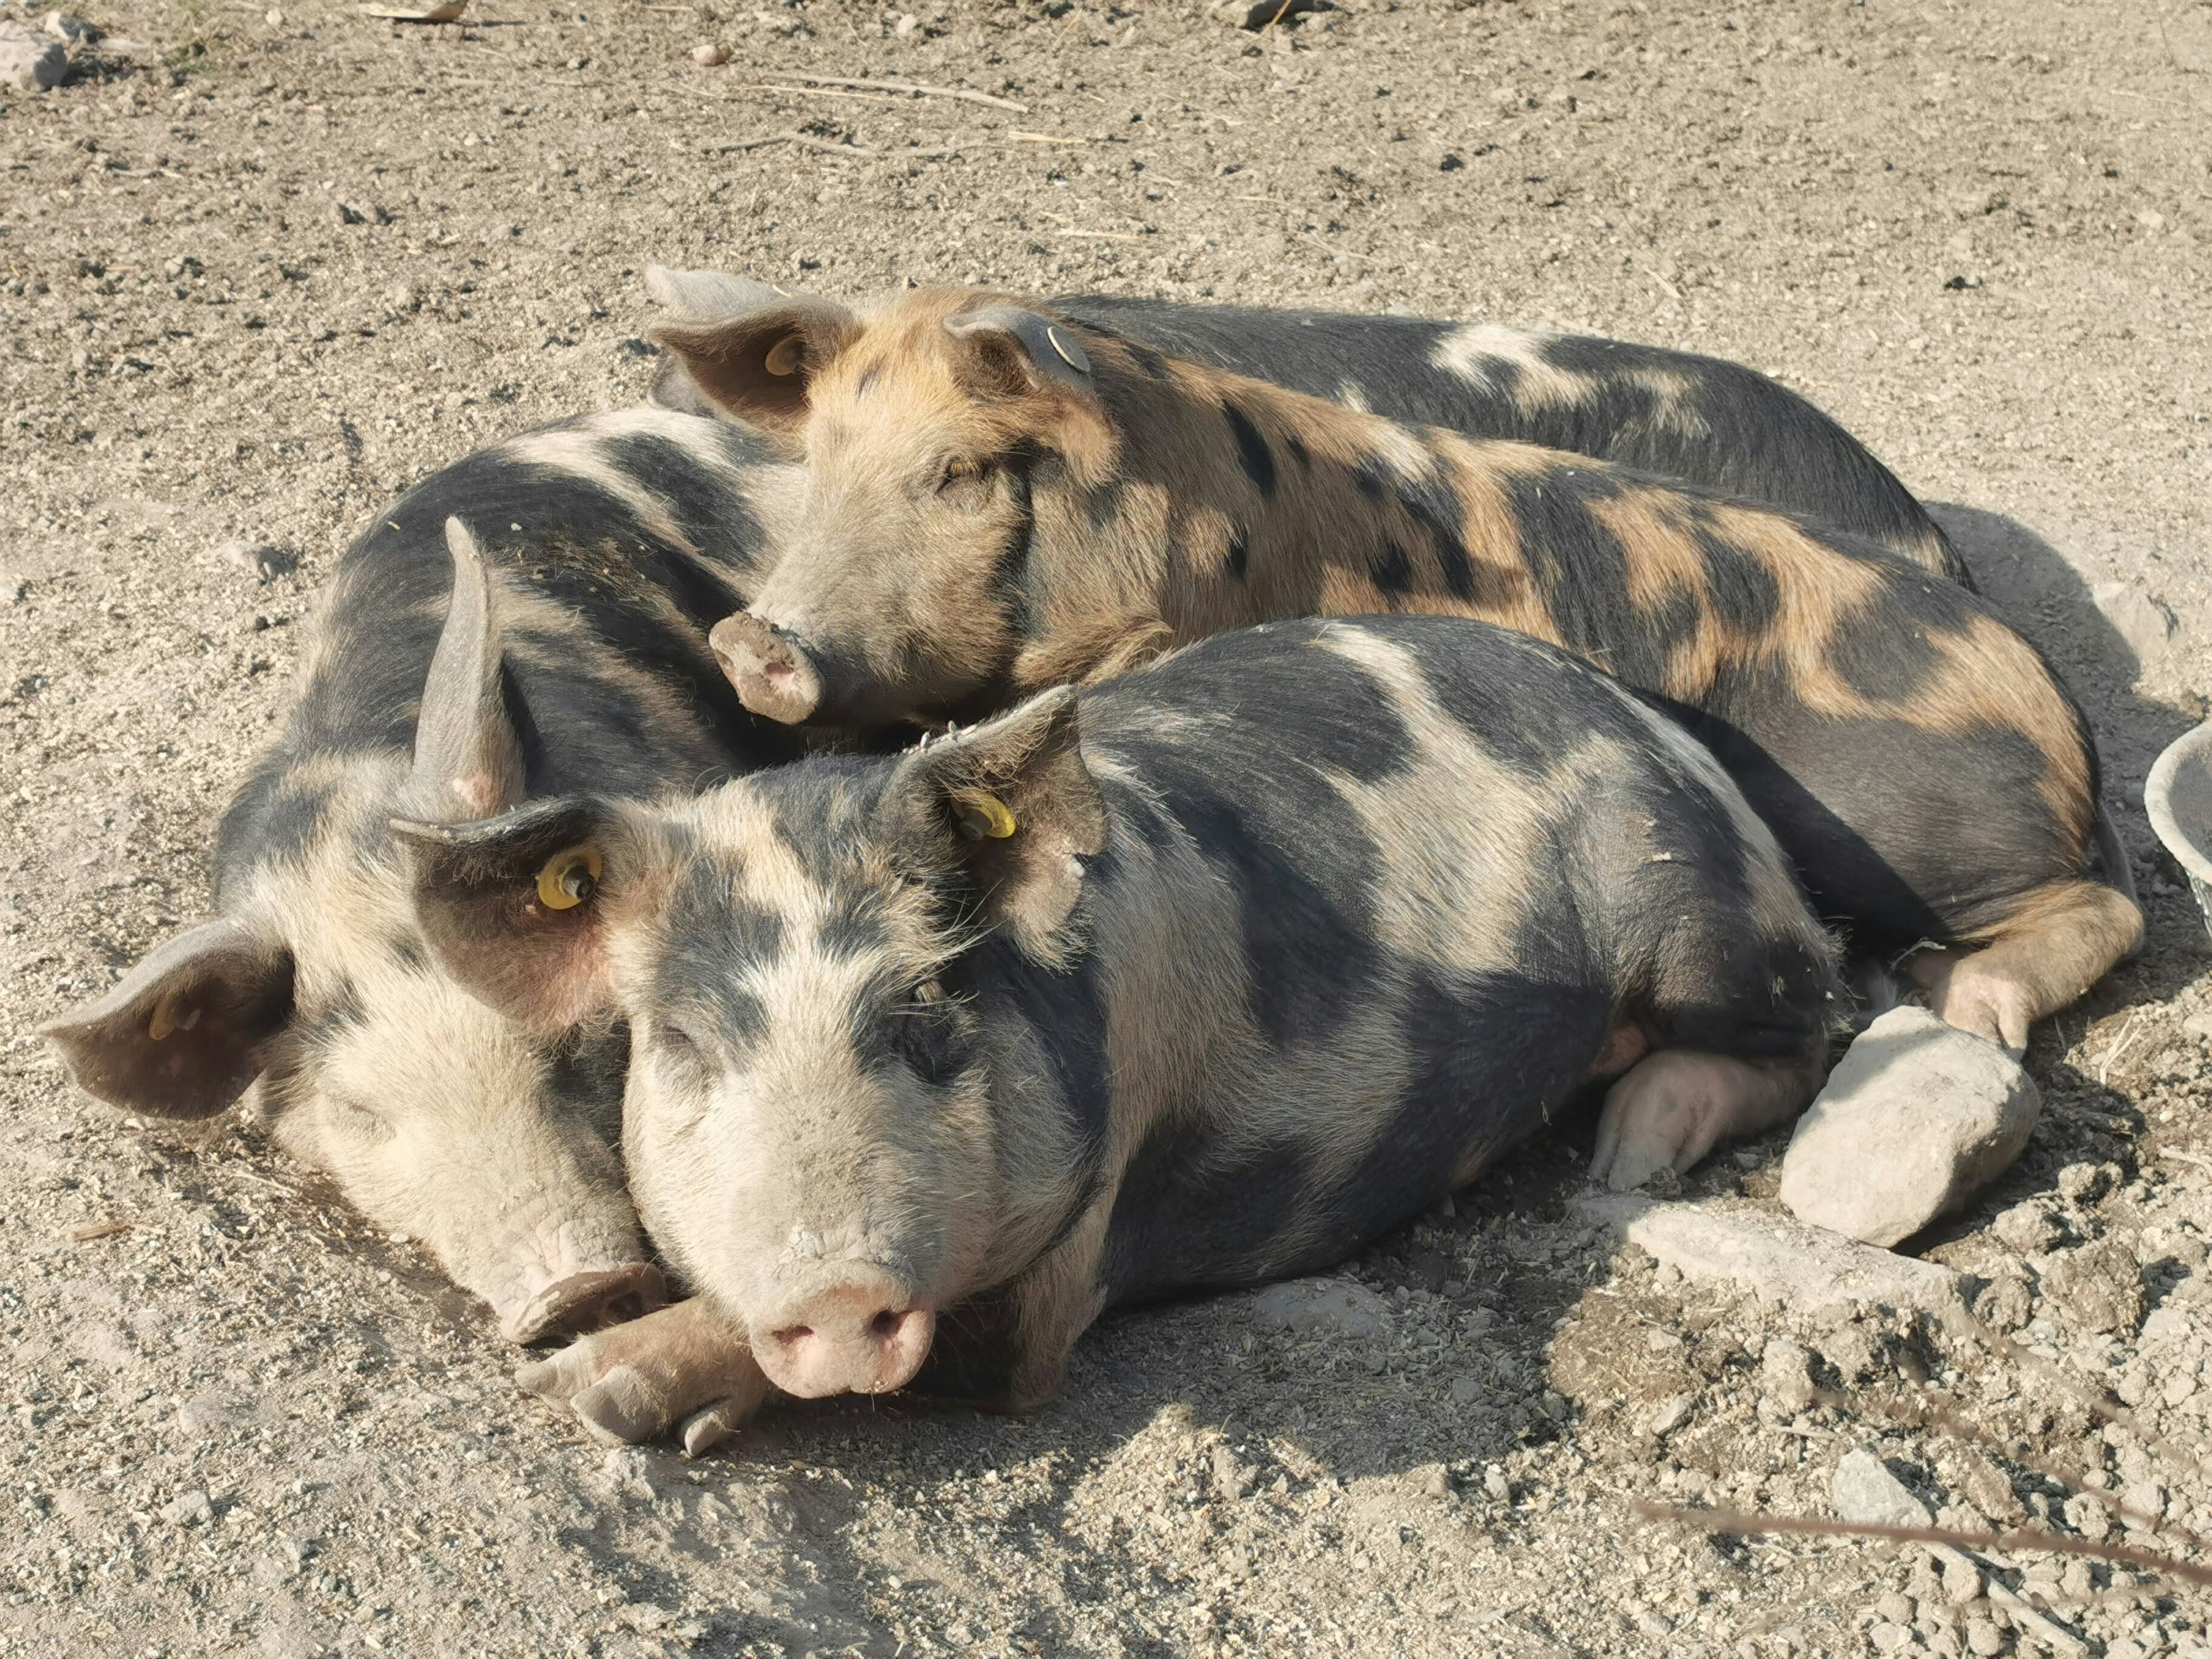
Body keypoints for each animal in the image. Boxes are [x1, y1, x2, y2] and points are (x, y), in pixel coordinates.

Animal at [398, 619, 1849, 1451]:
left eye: (923, 1011)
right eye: (687, 1040)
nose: (838, 1286)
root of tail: (1658, 724)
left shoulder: (1067, 1263)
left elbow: (993, 1362)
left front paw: (595, 1392)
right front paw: (582, 1386)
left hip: (1695, 917)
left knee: (1815, 1023)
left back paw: (1629, 1148)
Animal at [646, 283, 2132, 1066]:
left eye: (958, 470)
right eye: (818, 458)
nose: (756, 643)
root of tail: (2062, 722)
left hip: (1909, 834)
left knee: (2096, 917)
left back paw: (1957, 1003)